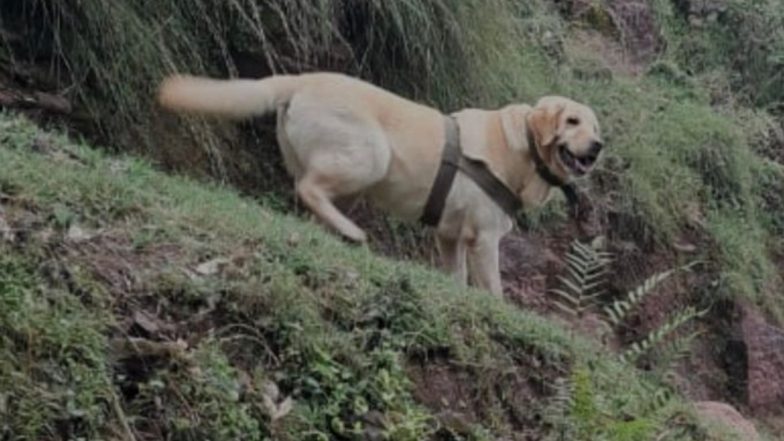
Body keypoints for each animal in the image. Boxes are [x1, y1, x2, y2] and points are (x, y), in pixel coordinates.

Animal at [158, 72, 600, 296]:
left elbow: (456, 278)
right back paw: (352, 232)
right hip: (371, 156)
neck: (522, 146)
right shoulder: (484, 239)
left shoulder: (450, 237)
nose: (597, 147)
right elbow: (493, 290)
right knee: (309, 188)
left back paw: (335, 232)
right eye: (572, 121)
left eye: (595, 128)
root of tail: (301, 79)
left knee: (308, 198)